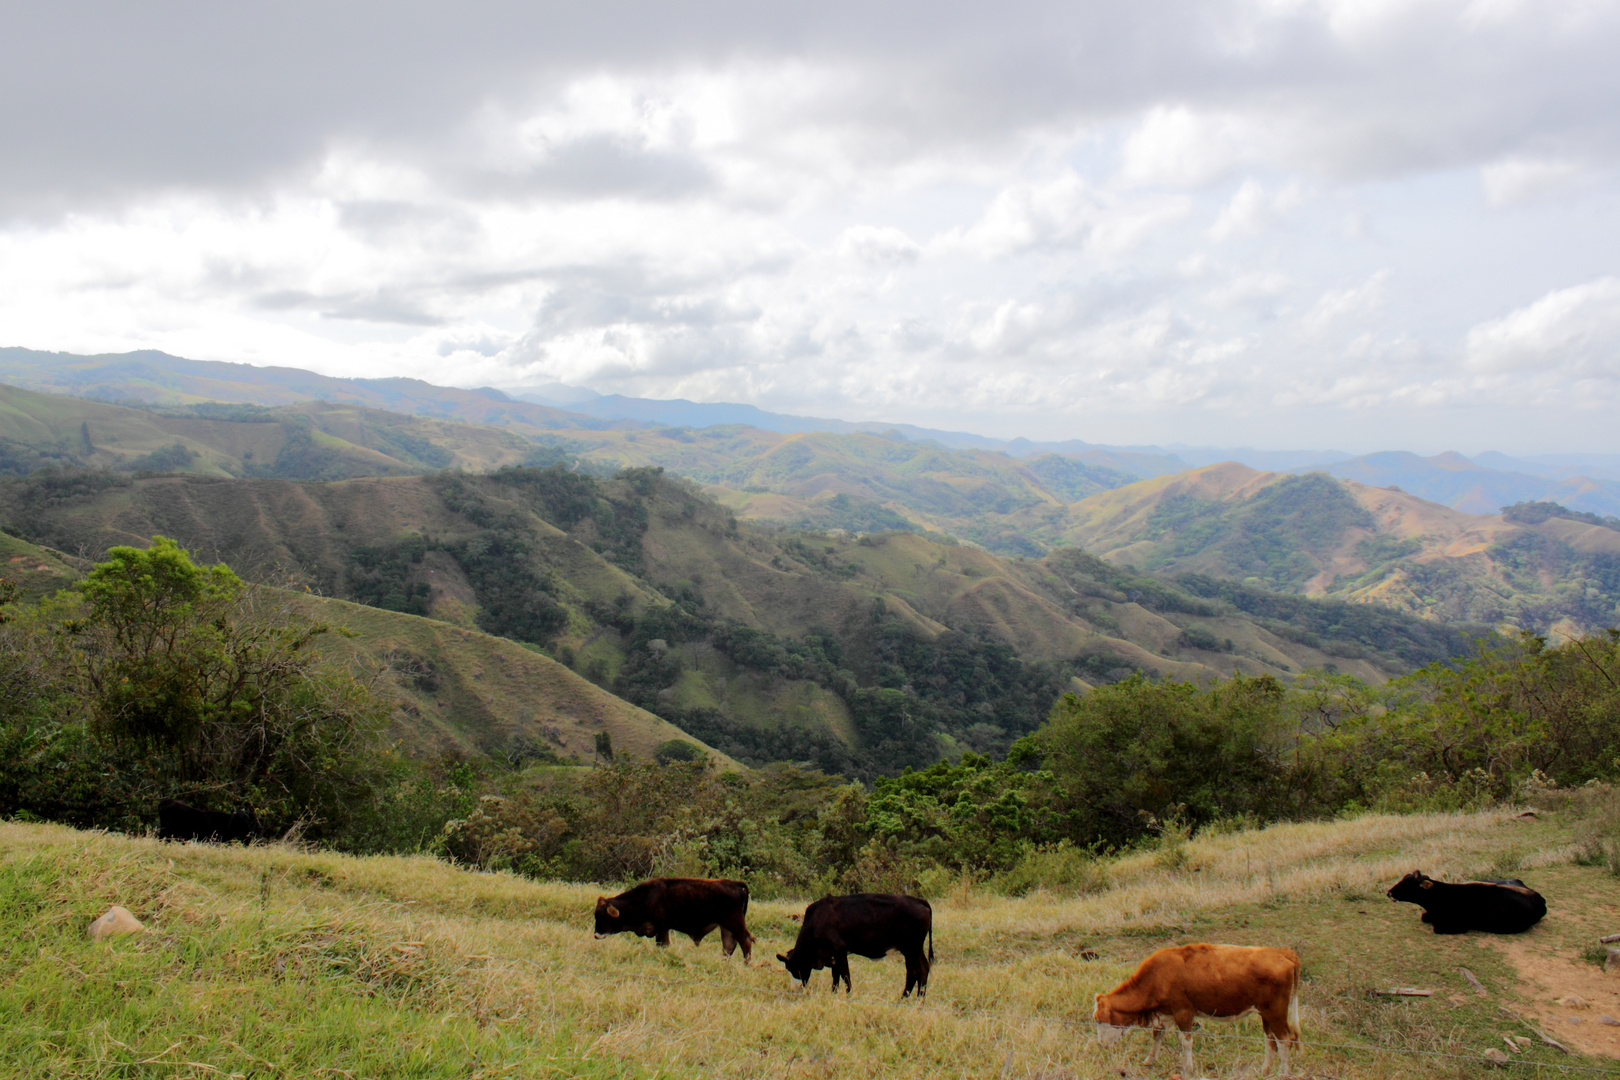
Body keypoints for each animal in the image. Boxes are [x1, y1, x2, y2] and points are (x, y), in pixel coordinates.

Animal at [592, 880, 754, 965]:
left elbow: (663, 945)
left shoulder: (662, 928)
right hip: (726, 927)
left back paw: (746, 964)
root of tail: (736, 884)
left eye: (603, 916)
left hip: (735, 925)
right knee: (728, 946)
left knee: (745, 943)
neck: (644, 898)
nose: (596, 935)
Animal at [774, 893, 933, 1003]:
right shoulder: (832, 956)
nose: (795, 989)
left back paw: (917, 999)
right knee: (914, 971)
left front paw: (849, 994)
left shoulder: (839, 950)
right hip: (911, 950)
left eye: (794, 969)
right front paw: (833, 993)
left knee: (920, 969)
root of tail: (918, 900)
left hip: (913, 948)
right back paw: (909, 998)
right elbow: (836, 976)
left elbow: (845, 976)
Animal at [1088, 939, 1302, 1075]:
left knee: (1285, 1039)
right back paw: (1265, 1070)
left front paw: (1188, 1068)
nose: (1100, 1044)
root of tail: (1283, 952)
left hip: (1276, 1011)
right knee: (1270, 1040)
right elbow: (1157, 1035)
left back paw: (1283, 1073)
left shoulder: (1184, 1012)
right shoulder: (1165, 1013)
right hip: (1265, 1013)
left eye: (1099, 1020)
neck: (1158, 976)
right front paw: (1149, 1060)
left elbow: (1186, 1041)